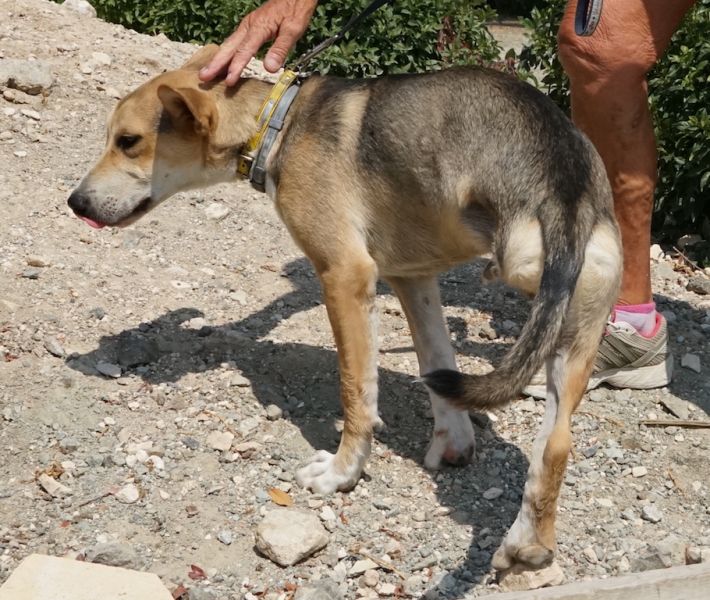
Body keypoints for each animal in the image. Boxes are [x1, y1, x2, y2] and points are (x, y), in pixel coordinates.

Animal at [68, 45, 621, 570]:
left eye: (128, 141)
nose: (76, 203)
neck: (278, 123)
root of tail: (565, 176)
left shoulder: (345, 275)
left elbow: (357, 392)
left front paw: (342, 473)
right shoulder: (412, 276)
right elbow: (437, 365)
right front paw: (453, 442)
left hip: (523, 269)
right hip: (577, 319)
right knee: (555, 444)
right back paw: (526, 547)